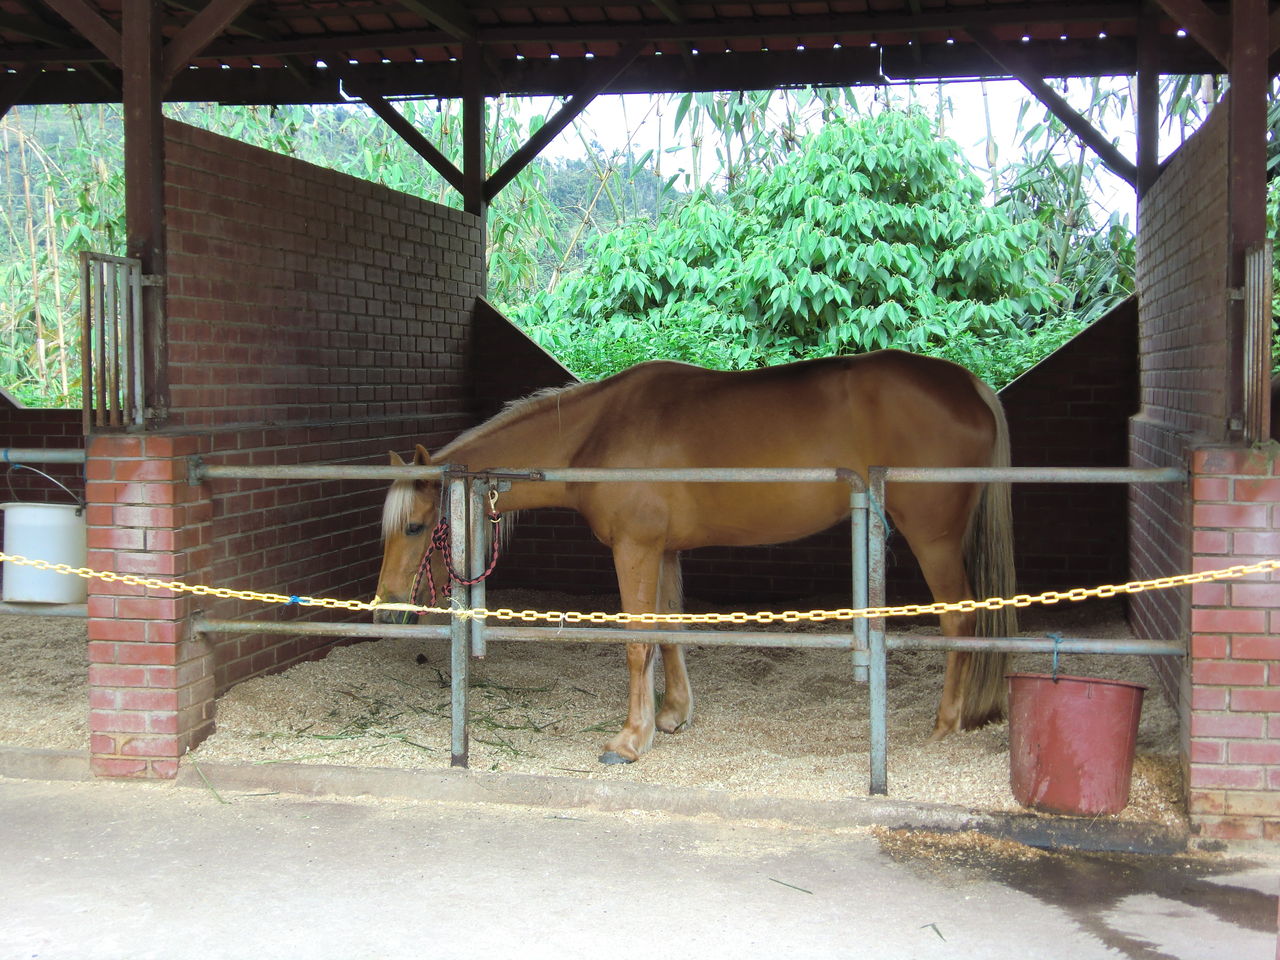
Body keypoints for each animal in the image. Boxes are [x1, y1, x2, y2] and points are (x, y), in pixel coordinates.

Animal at [374, 349, 1018, 764]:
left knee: (960, 621)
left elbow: (638, 642)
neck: (596, 435)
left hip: (933, 539)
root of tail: (971, 387)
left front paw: (630, 741)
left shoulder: (634, 549)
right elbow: (669, 633)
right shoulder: (662, 551)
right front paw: (672, 716)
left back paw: (944, 726)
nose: (383, 607)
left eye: (415, 526)